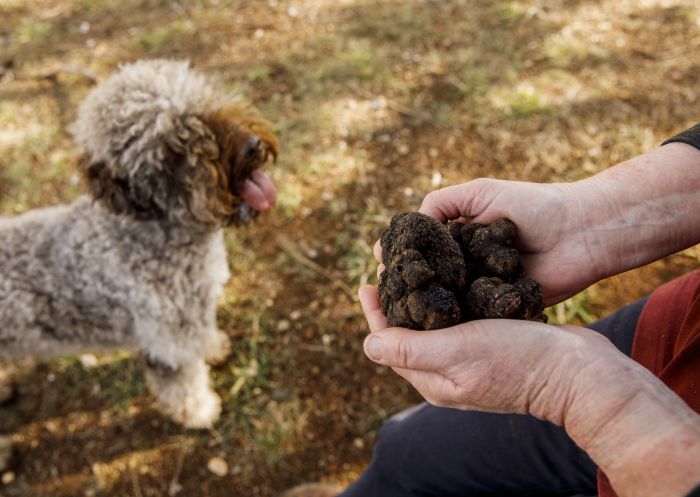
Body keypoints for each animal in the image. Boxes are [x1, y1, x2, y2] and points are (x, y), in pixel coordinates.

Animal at [0, 59, 278, 426]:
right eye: (173, 151)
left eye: (205, 100)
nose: (251, 146)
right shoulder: (166, 342)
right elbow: (182, 387)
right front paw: (200, 412)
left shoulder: (195, 312)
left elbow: (204, 334)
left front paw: (213, 347)